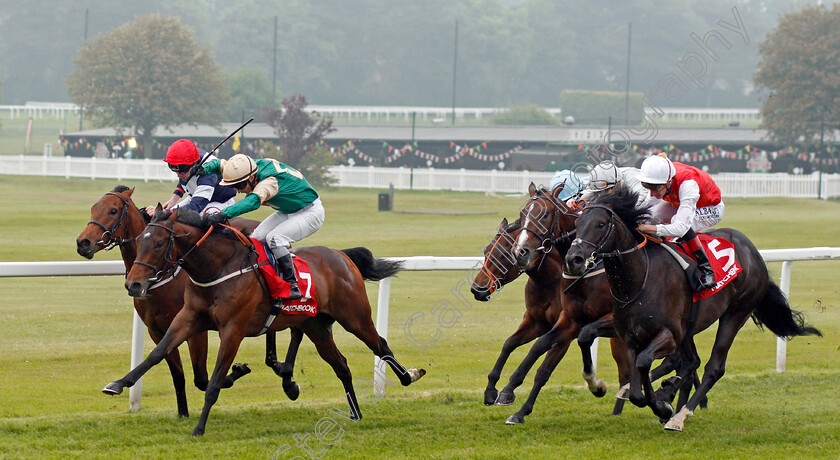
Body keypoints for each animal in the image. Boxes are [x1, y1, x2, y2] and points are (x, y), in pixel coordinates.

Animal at [77, 187, 304, 416]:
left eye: (113, 210)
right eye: (93, 208)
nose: (83, 243)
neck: (163, 278)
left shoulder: (196, 329)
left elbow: (202, 378)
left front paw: (236, 371)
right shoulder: (157, 330)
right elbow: (175, 371)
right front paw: (182, 413)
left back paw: (284, 376)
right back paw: (277, 365)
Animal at [101, 207, 424, 436]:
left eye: (158, 243)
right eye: (139, 241)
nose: (133, 285)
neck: (218, 268)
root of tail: (341, 256)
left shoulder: (233, 329)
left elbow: (214, 381)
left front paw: (199, 428)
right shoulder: (189, 317)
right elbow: (156, 354)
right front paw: (117, 384)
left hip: (354, 316)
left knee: (380, 345)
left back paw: (409, 375)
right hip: (316, 326)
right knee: (341, 365)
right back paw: (355, 413)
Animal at [472, 183, 632, 424]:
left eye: (504, 255)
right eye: (485, 251)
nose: (477, 289)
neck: (550, 280)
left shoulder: (566, 330)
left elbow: (543, 370)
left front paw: (515, 402)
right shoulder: (537, 321)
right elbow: (510, 343)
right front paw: (492, 390)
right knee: (625, 371)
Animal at [564, 184, 820, 432]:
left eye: (600, 224)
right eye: (576, 224)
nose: (573, 259)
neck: (640, 278)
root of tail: (753, 252)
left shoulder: (669, 334)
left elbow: (644, 363)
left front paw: (662, 406)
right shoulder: (629, 335)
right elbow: (598, 345)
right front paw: (600, 385)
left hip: (735, 314)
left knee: (713, 367)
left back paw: (679, 416)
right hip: (689, 328)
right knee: (691, 361)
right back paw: (667, 393)